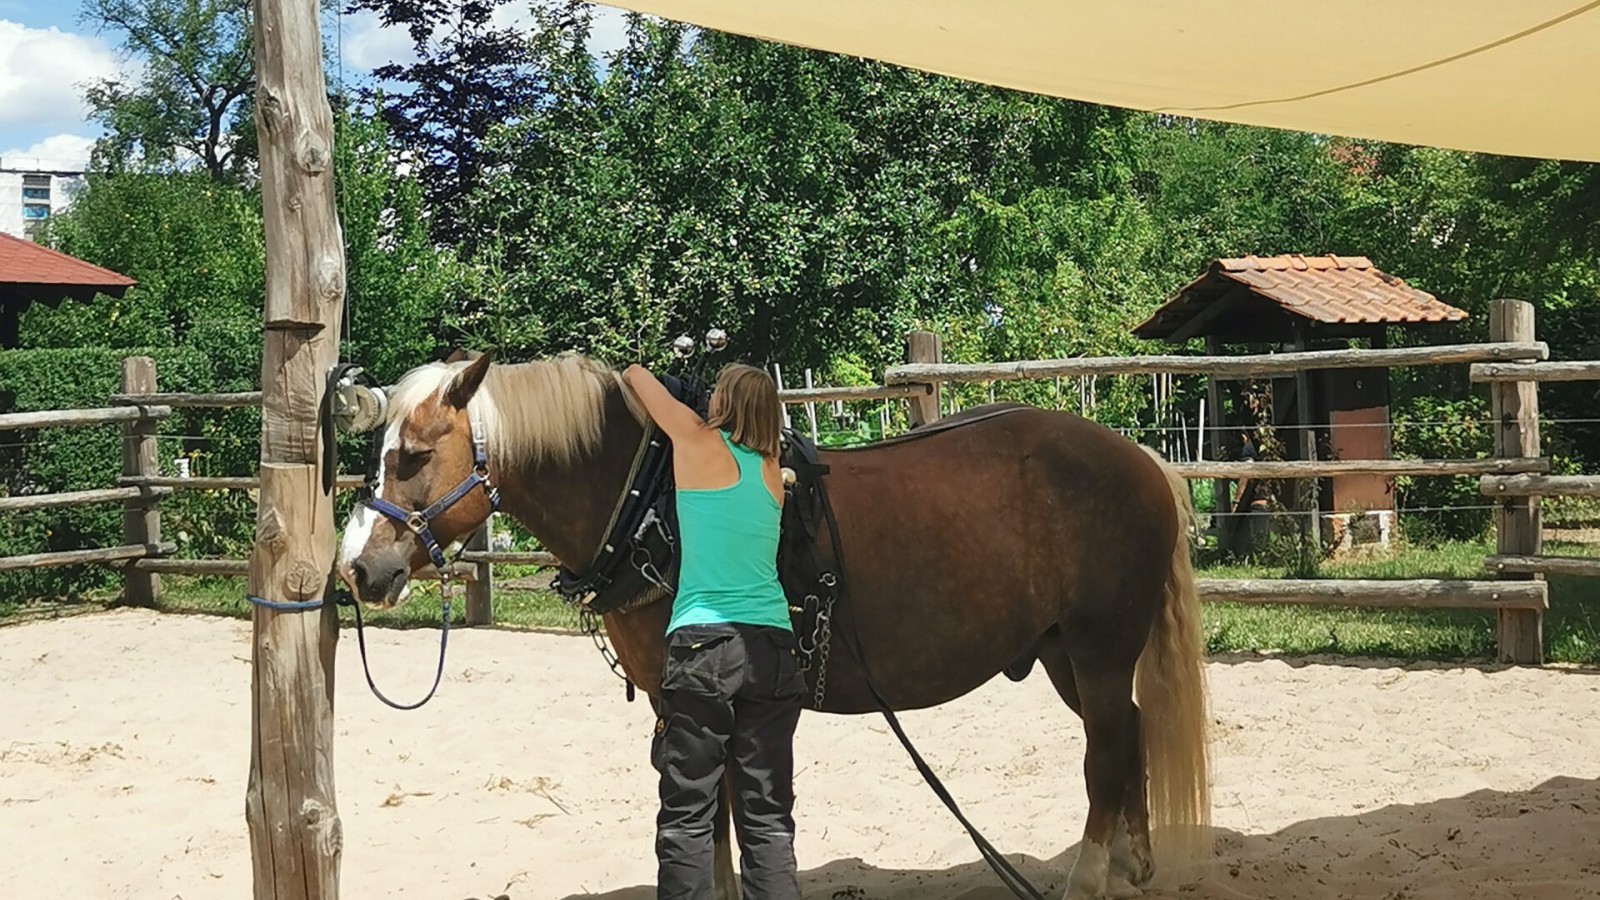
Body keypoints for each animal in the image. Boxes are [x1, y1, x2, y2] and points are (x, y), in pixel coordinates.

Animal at [340, 350, 1209, 896]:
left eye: (412, 456)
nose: (359, 570)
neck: (651, 499)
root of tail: (1141, 458)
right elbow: (719, 810)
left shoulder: (699, 691)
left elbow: (716, 804)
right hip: (1066, 655)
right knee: (1127, 735)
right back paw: (1134, 864)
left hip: (1099, 649)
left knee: (1105, 757)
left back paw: (1089, 879)